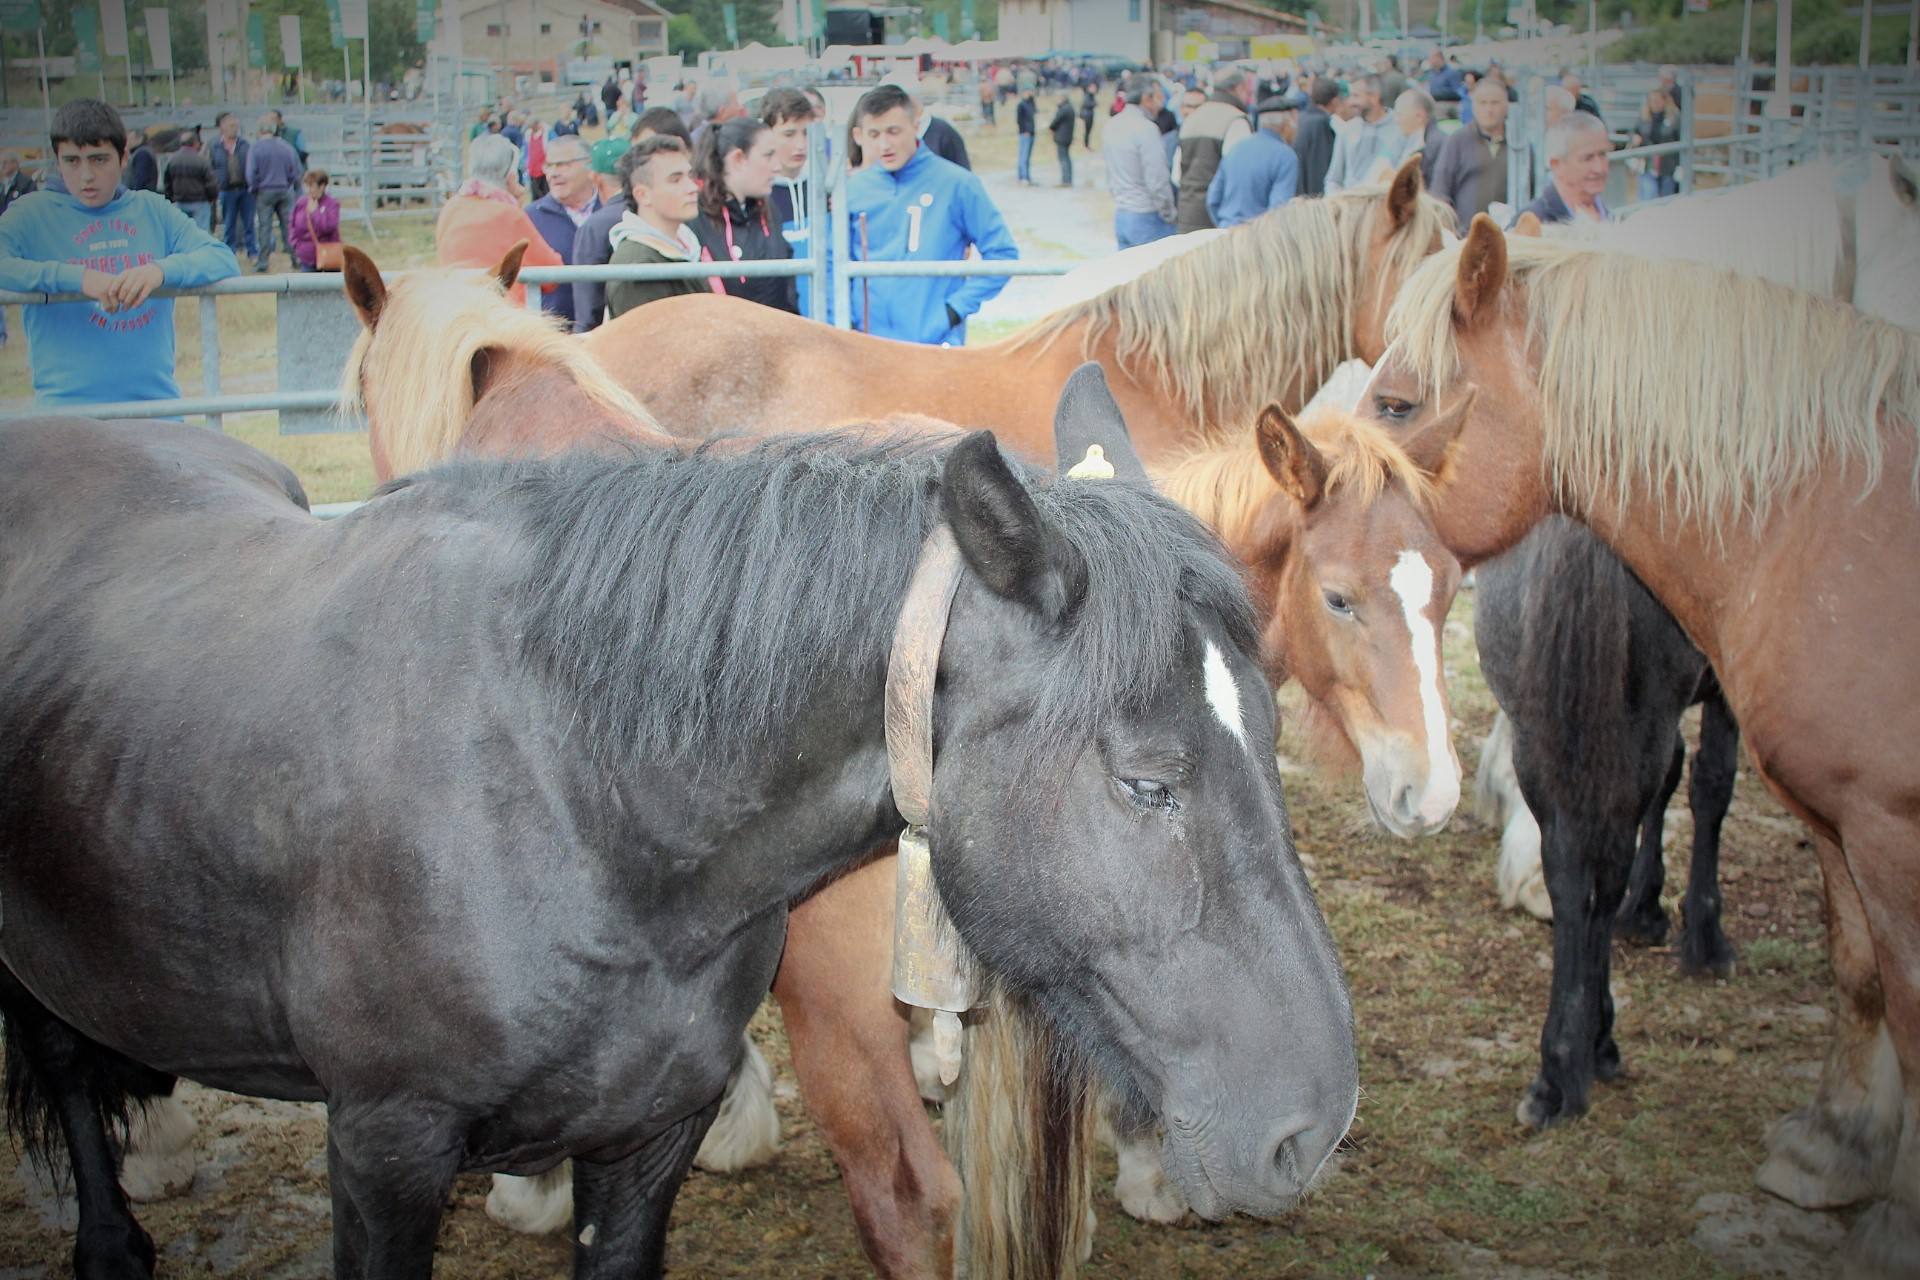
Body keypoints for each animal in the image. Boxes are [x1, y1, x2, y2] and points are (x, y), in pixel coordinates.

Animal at [0, 395, 1359, 1274]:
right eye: (1146, 782)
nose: (1314, 1127)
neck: (568, 788)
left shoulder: (648, 1139)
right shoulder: (383, 1146)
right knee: (64, 1063)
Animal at [1466, 514, 1743, 1128]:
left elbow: (1671, 781)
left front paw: (1648, 908)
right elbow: (1710, 783)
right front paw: (1702, 934)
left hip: (1536, 726)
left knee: (1569, 874)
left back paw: (1558, 1068)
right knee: (1606, 867)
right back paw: (1589, 1048)